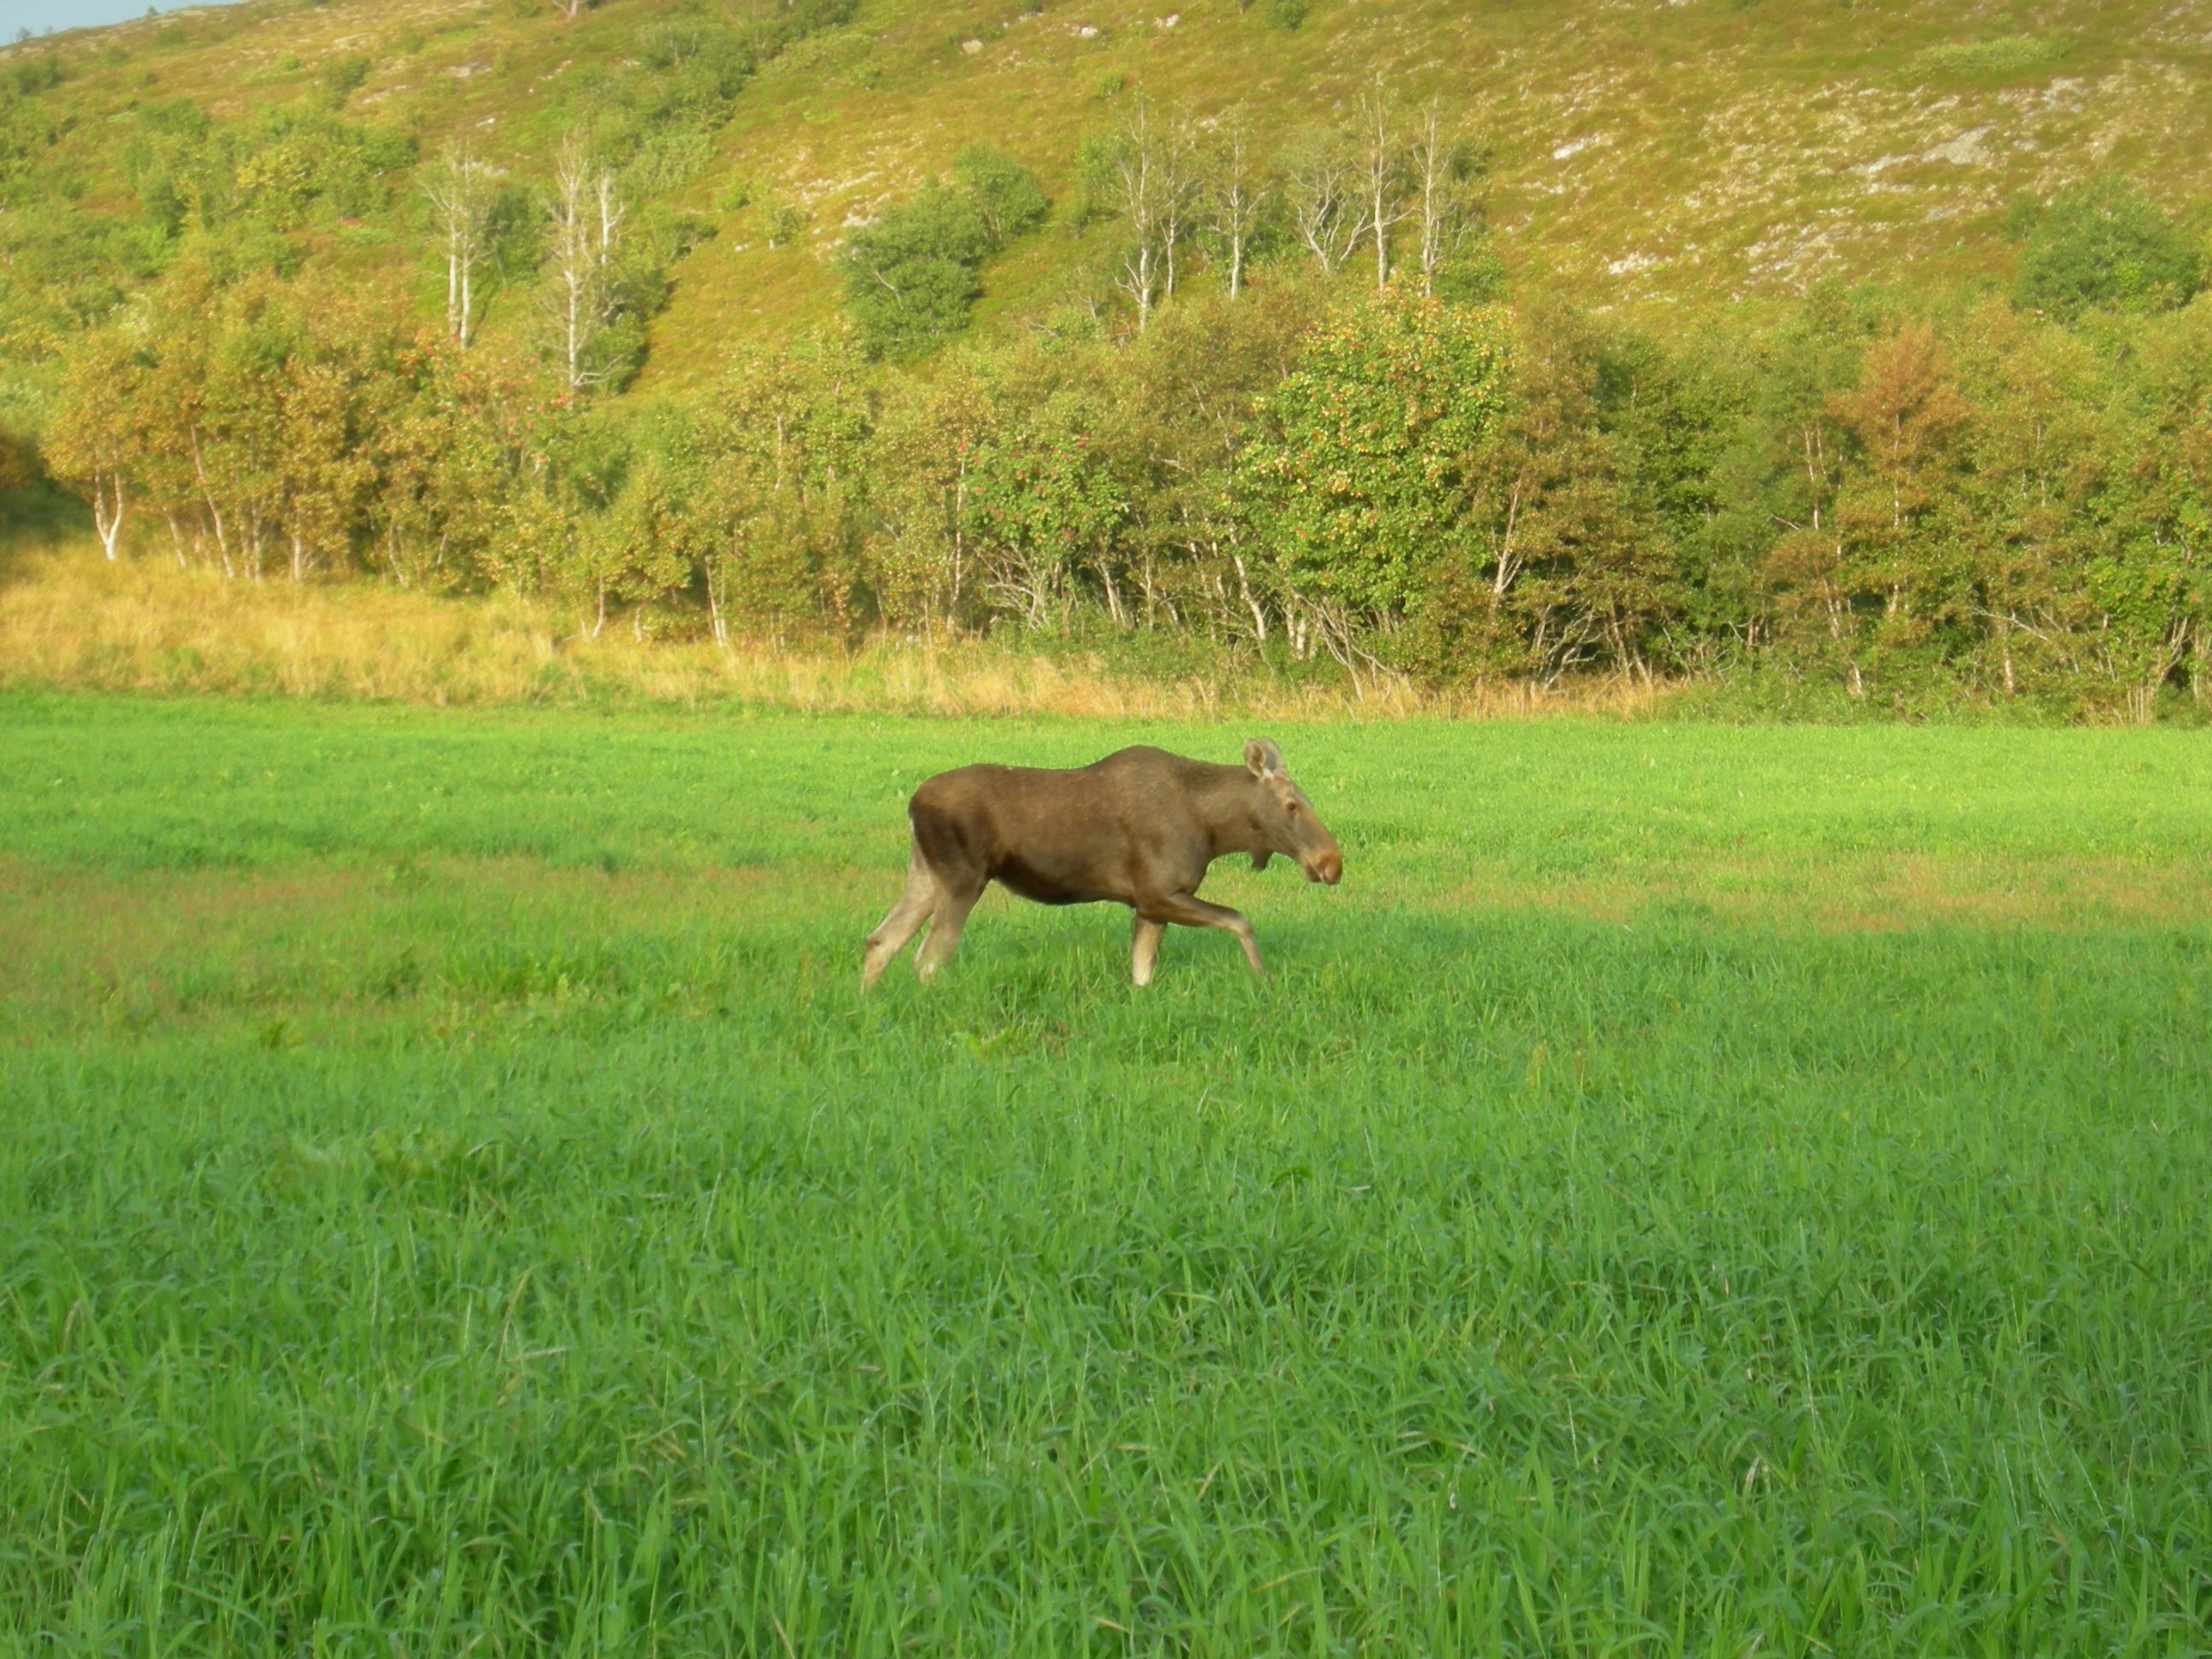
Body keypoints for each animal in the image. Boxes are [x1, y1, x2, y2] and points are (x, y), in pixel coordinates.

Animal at [862, 738, 1344, 987]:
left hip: (925, 874)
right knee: (927, 958)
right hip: (962, 878)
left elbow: (1142, 973)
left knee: (880, 941)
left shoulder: (1149, 905)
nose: (1332, 862)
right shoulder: (1156, 893)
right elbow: (1240, 920)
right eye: (1291, 806)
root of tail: (912, 804)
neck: (1214, 830)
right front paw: (1263, 980)